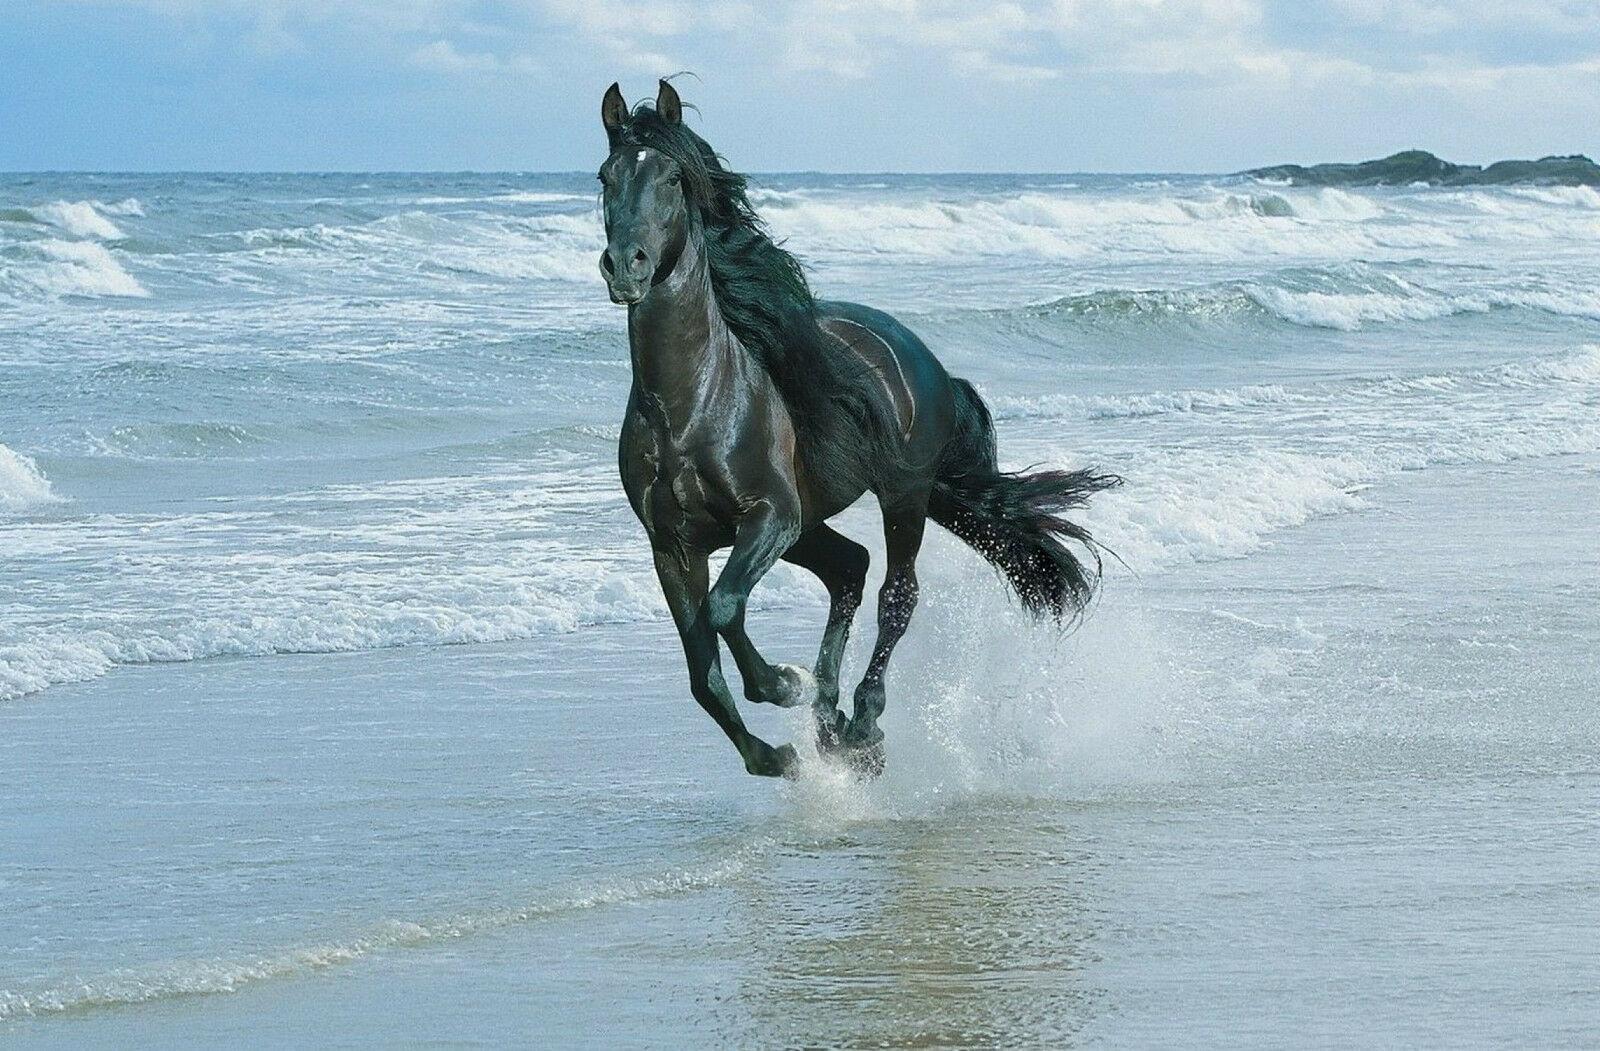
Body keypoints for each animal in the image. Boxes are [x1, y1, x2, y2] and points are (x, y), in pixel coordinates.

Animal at [598, 79, 1120, 778]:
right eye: (605, 177)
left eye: (674, 178)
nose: (625, 266)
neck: (691, 407)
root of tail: (924, 358)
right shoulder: (673, 546)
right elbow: (702, 673)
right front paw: (777, 754)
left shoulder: (770, 516)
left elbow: (726, 609)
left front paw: (783, 684)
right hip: (813, 524)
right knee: (850, 568)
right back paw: (830, 720)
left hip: (900, 497)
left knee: (896, 594)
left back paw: (861, 723)